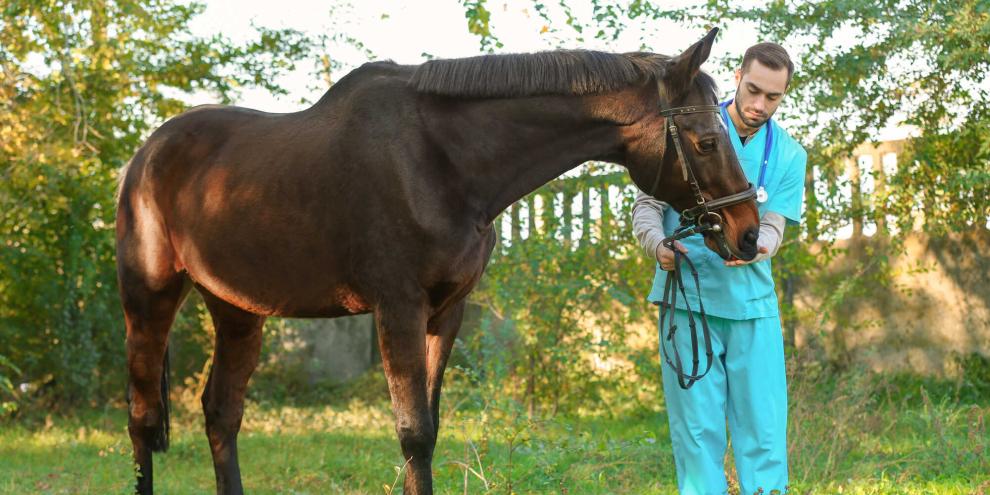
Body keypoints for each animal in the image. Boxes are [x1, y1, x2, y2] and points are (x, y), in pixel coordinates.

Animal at [115, 27, 759, 494]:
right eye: (706, 141)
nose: (747, 233)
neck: (441, 161)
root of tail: (145, 155)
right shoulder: (397, 308)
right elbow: (413, 433)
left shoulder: (447, 311)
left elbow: (430, 425)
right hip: (149, 299)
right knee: (143, 418)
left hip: (237, 311)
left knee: (221, 414)